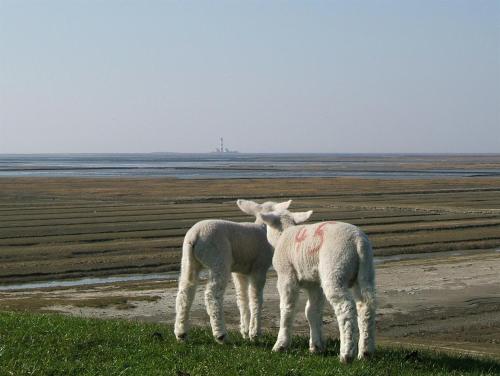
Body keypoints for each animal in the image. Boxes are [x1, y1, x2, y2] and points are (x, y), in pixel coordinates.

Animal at [176, 200, 292, 344]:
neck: (263, 228)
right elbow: (256, 298)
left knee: (185, 292)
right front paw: (255, 333)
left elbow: (242, 298)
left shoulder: (239, 271)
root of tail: (195, 236)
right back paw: (221, 335)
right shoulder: (259, 268)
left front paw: (245, 332)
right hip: (218, 259)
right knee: (212, 295)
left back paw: (181, 333)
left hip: (188, 260)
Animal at [254, 210, 376, 362]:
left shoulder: (286, 275)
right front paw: (316, 347)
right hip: (365, 272)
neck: (283, 234)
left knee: (345, 308)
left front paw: (281, 345)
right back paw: (365, 353)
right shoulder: (314, 283)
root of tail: (358, 241)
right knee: (366, 306)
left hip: (335, 267)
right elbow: (312, 311)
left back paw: (346, 354)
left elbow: (287, 308)